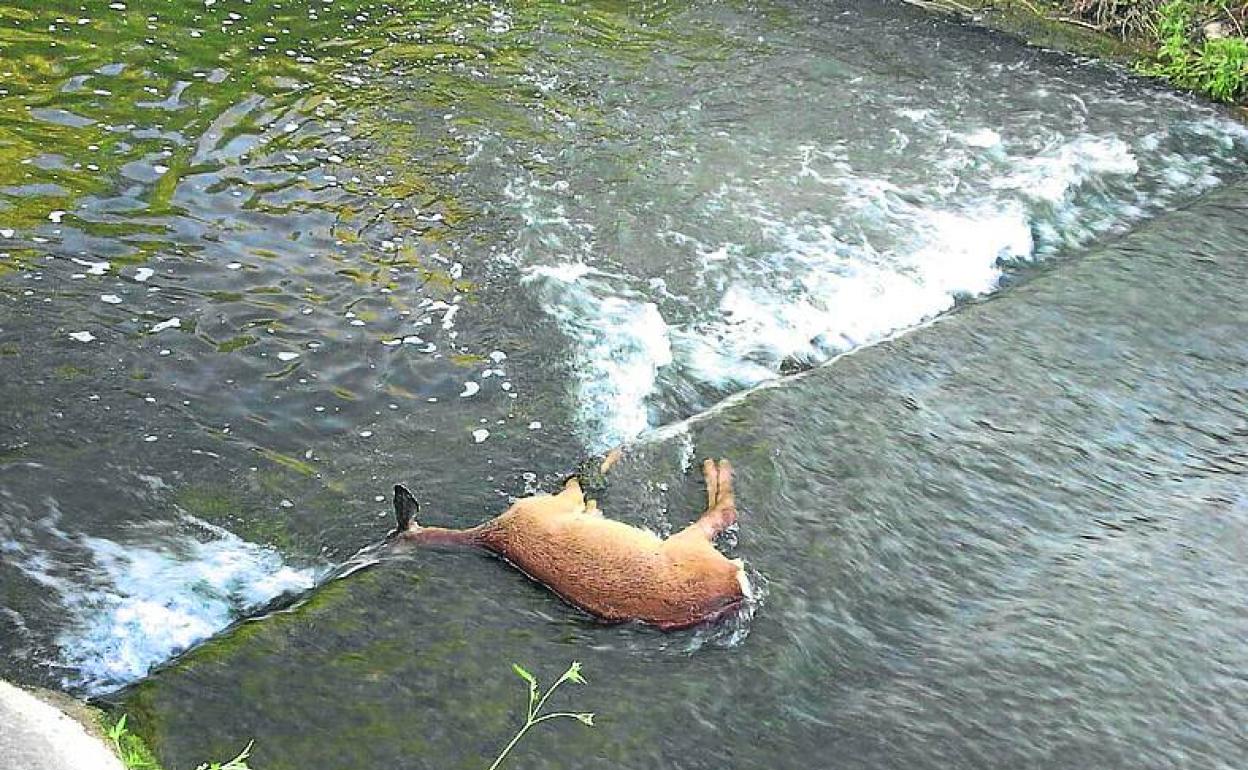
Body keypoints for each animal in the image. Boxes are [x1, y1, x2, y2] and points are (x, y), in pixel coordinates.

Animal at [384, 454, 743, 626]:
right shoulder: (551, 507)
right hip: (688, 544)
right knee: (723, 511)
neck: (491, 539)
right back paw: (716, 467)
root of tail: (734, 586)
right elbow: (576, 488)